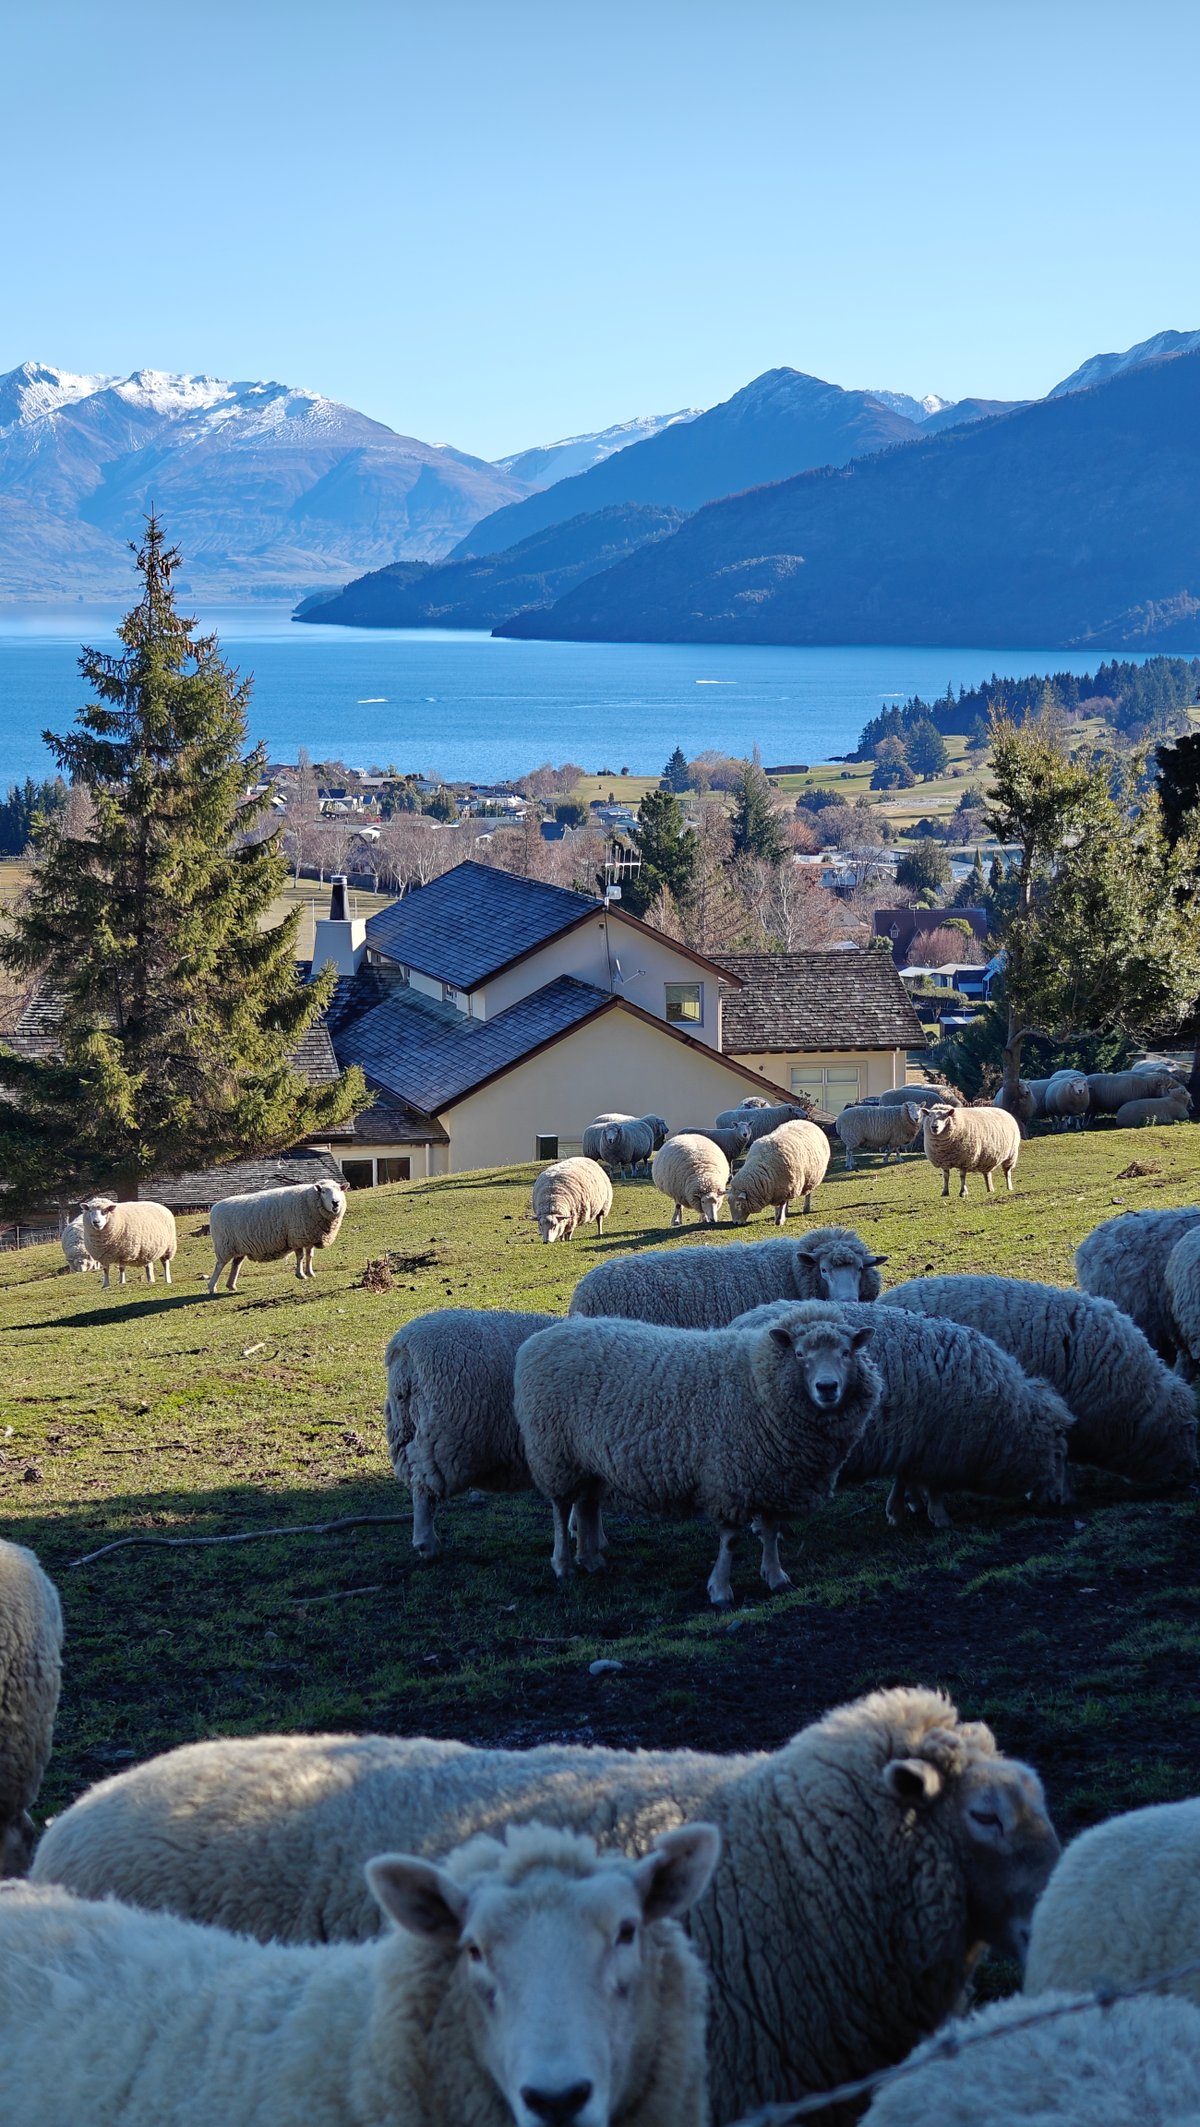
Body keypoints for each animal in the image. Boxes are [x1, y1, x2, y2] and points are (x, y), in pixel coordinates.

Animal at [206, 1178, 347, 1294]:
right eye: (323, 1191)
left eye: (339, 1189)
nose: (335, 1203)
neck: (308, 1200)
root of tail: (214, 1208)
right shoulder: (296, 1237)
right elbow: (300, 1256)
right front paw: (300, 1274)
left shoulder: (309, 1237)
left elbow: (309, 1256)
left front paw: (310, 1273)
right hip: (224, 1245)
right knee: (219, 1265)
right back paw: (212, 1287)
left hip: (239, 1247)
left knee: (236, 1264)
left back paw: (231, 1285)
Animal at [514, 1303, 879, 1602]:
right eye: (800, 1354)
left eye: (847, 1352)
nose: (827, 1387)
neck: (758, 1382)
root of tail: (546, 1335)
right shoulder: (731, 1477)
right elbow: (731, 1540)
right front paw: (720, 1590)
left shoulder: (773, 1477)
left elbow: (771, 1532)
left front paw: (776, 1577)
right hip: (556, 1453)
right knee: (562, 1508)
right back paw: (563, 1566)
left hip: (589, 1460)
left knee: (587, 1504)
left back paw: (591, 1560)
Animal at [733, 1299, 1073, 1528]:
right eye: (1058, 1454)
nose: (1062, 1503)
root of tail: (739, 1322)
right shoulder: (939, 1446)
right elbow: (934, 1486)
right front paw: (938, 1517)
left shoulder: (910, 1440)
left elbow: (904, 1477)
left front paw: (901, 1508)